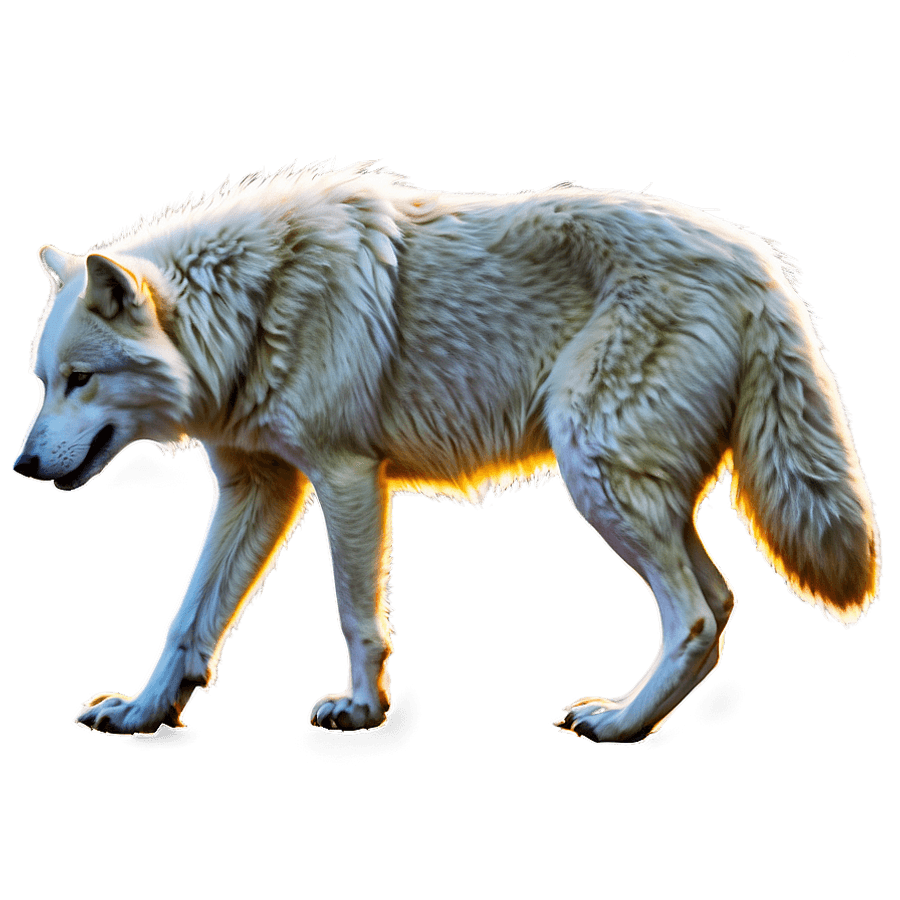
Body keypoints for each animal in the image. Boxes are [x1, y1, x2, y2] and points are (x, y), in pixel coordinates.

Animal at [13, 161, 881, 743]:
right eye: (42, 382)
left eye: (82, 379)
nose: (21, 465)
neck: (250, 306)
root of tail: (761, 265)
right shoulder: (257, 487)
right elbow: (189, 618)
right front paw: (144, 711)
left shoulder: (346, 474)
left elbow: (354, 611)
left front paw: (362, 711)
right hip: (637, 492)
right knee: (723, 602)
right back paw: (638, 716)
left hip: (597, 479)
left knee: (696, 616)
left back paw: (618, 723)